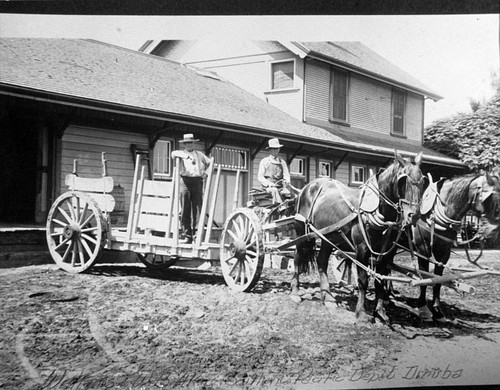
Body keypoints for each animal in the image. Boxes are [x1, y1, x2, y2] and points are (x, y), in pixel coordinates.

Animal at [290, 151, 426, 324]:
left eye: (423, 182)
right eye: (403, 180)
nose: (413, 215)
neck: (377, 209)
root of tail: (306, 188)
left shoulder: (384, 254)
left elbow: (380, 281)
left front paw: (380, 311)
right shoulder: (361, 249)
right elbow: (363, 280)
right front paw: (361, 313)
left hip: (328, 237)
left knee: (321, 261)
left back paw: (328, 296)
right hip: (302, 233)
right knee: (297, 258)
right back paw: (295, 291)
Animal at [414, 166, 500, 322]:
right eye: (490, 198)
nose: (494, 231)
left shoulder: (444, 251)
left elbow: (438, 280)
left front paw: (438, 311)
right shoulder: (422, 249)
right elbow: (424, 278)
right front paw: (423, 308)